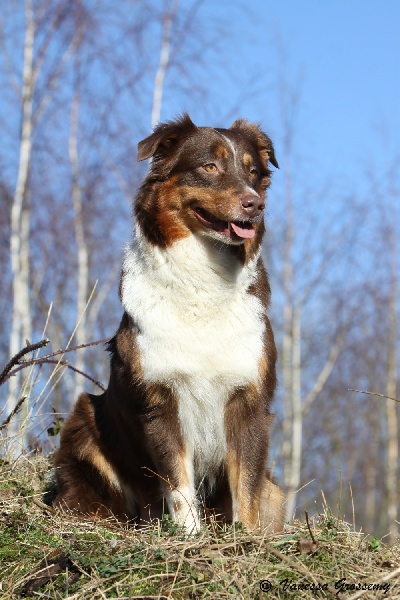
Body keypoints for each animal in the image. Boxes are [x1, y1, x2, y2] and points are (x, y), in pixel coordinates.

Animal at [54, 115, 284, 532]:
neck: (202, 281)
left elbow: (247, 488)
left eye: (252, 171)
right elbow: (178, 485)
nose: (254, 203)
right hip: (84, 418)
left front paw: (245, 539)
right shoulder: (162, 397)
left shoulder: (249, 397)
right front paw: (189, 537)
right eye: (209, 167)